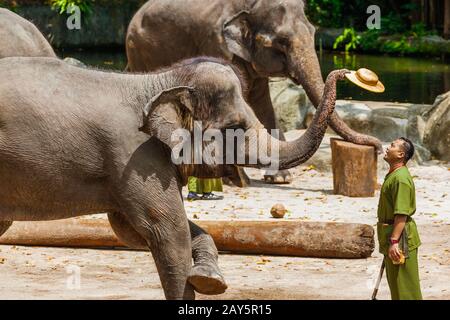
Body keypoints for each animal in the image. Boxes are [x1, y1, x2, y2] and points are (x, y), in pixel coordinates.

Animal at [0, 55, 352, 300]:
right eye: (234, 127)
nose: (344, 71)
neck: (160, 80)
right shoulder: (136, 156)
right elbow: (166, 231)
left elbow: (134, 231)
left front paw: (209, 279)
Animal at [126, 0, 384, 185]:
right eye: (281, 41)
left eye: (313, 32)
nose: (379, 148)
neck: (250, 5)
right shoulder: (215, 41)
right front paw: (239, 180)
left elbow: (262, 101)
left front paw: (280, 178)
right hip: (139, 48)